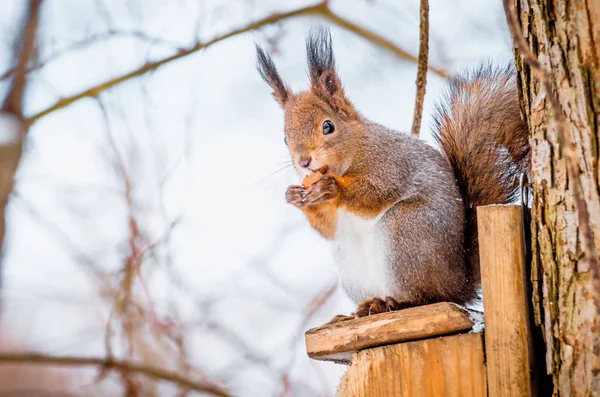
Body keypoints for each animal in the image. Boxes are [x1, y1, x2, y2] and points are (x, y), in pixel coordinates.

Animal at [253, 27, 528, 318]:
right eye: (285, 138)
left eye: (328, 126)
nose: (304, 161)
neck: (352, 155)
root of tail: (458, 283)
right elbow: (329, 228)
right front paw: (295, 197)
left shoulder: (391, 165)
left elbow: (375, 194)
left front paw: (333, 189)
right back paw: (367, 306)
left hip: (405, 231)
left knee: (426, 296)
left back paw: (397, 302)